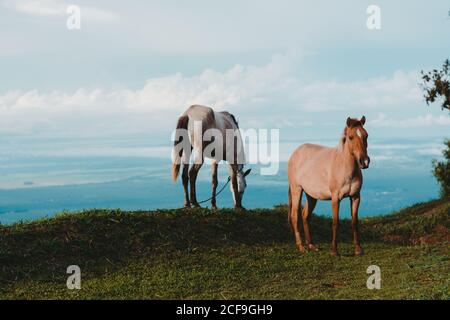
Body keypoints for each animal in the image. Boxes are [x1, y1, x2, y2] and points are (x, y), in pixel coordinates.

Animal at [288, 116, 370, 256]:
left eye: (366, 135)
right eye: (350, 137)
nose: (364, 161)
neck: (344, 166)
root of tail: (295, 153)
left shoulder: (355, 197)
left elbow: (355, 222)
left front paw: (358, 249)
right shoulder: (335, 198)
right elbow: (335, 222)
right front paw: (334, 251)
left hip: (311, 196)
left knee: (305, 215)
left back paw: (311, 245)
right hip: (296, 190)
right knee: (295, 216)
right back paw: (301, 247)